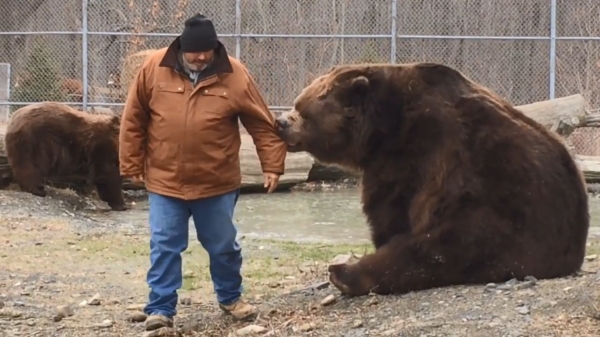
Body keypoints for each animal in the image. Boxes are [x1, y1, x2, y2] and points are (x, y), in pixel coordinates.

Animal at [276, 61, 592, 296]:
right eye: (297, 102)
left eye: (304, 111)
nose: (281, 122)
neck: (381, 127)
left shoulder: (414, 152)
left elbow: (390, 207)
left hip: (502, 213)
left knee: (436, 249)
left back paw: (345, 274)